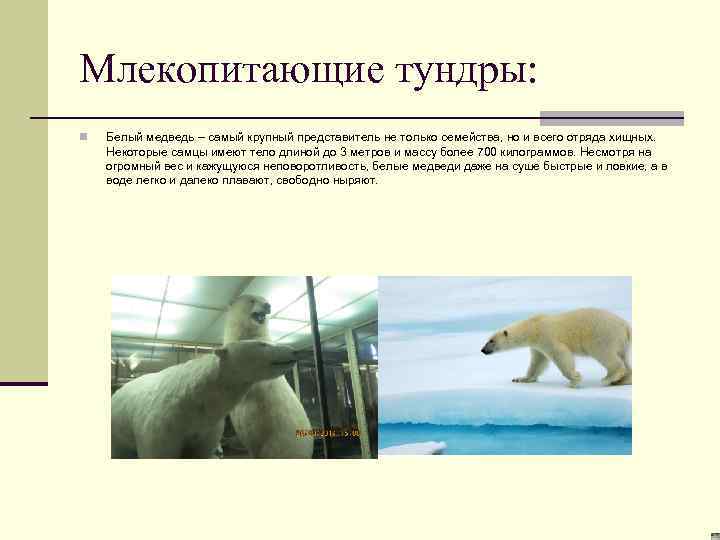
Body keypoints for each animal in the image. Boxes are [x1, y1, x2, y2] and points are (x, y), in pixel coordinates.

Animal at [111, 339, 297, 458]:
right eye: (262, 344)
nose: (294, 350)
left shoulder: (206, 427)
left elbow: (202, 450)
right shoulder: (162, 421)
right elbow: (157, 450)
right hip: (117, 427)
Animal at [481, 308, 631, 388]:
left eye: (491, 340)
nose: (483, 350)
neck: (533, 326)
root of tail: (625, 325)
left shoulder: (546, 336)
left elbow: (560, 354)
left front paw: (574, 380)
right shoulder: (537, 346)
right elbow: (537, 362)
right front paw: (521, 378)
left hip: (602, 335)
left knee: (605, 354)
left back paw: (609, 378)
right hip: (621, 342)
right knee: (624, 358)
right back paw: (622, 380)